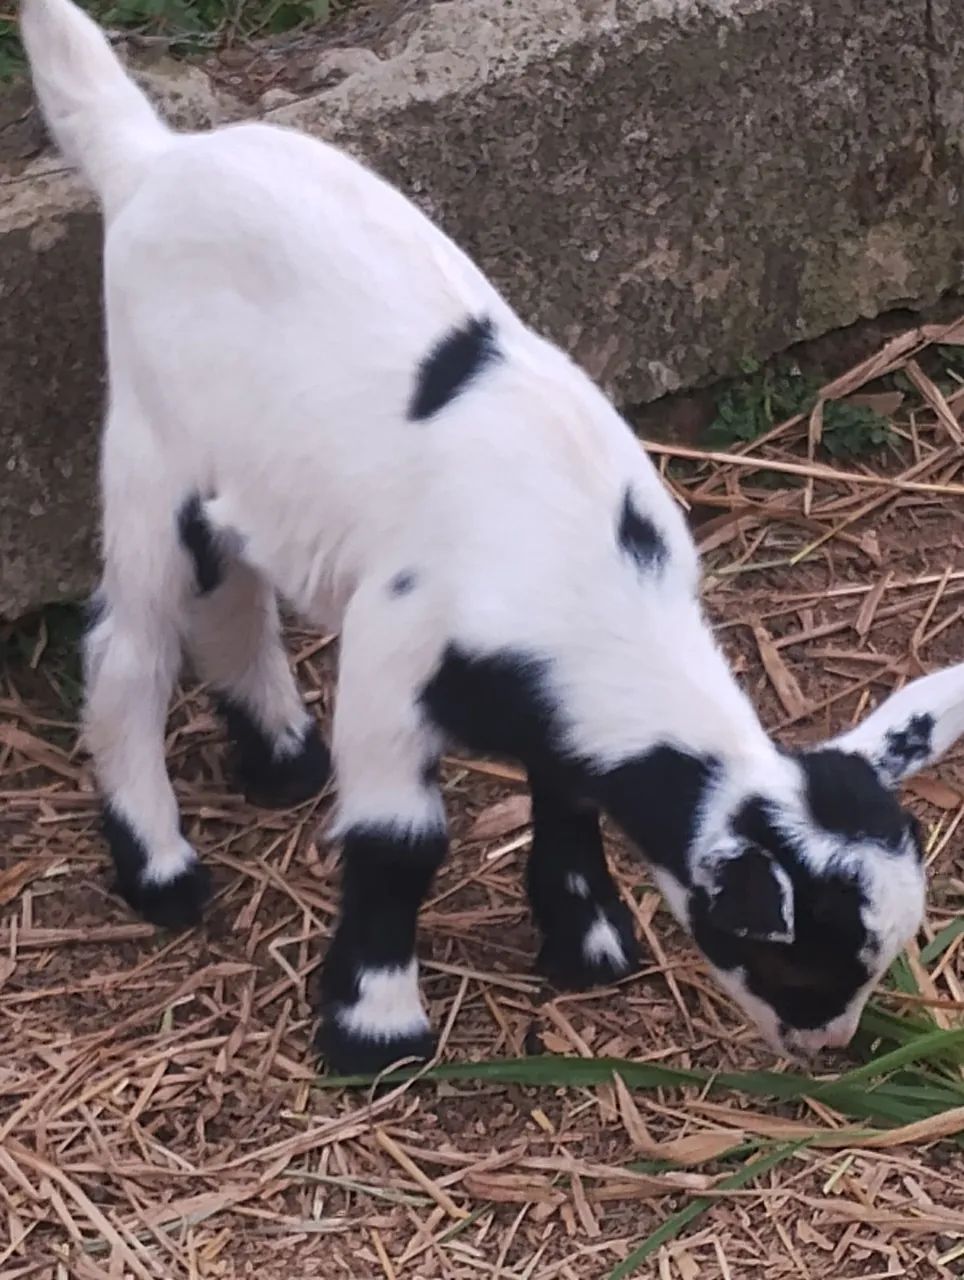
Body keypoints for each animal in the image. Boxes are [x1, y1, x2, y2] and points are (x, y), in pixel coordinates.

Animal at [21, 0, 964, 1074]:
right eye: (799, 958)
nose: (831, 1047)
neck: (594, 580)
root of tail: (151, 157)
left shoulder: (557, 694)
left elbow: (569, 795)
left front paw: (587, 943)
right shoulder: (397, 654)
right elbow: (399, 844)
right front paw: (377, 1029)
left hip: (244, 468)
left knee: (234, 588)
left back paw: (284, 763)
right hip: (151, 445)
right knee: (129, 647)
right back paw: (162, 870)